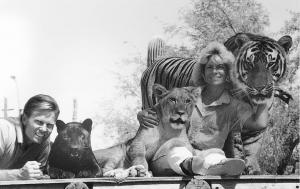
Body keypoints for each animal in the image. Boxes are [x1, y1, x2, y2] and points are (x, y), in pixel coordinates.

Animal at [141, 32, 292, 174]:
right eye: (249, 63)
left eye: (271, 64)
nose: (259, 87)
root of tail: (157, 60)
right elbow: (234, 147)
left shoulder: (255, 126)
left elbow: (253, 148)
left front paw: (253, 169)